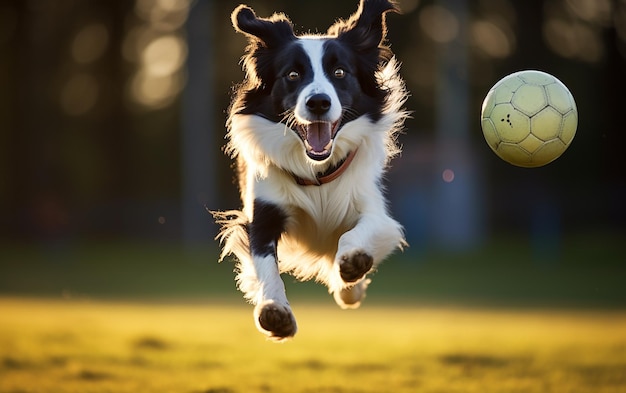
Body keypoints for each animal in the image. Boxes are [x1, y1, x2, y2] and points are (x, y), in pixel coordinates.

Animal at [213, 0, 410, 338]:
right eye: (293, 74)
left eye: (340, 72)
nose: (318, 102)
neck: (317, 171)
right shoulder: (262, 214)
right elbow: (264, 262)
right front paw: (274, 311)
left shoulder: (373, 209)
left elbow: (360, 234)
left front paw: (354, 261)